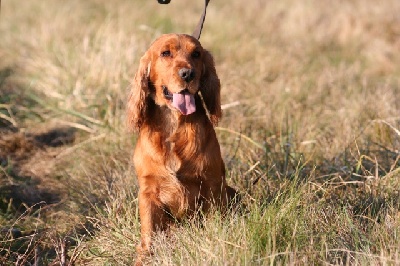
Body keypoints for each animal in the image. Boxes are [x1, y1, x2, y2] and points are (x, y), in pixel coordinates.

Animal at [126, 32, 236, 262]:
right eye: (165, 53)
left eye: (196, 54)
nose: (188, 74)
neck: (174, 122)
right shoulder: (148, 191)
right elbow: (149, 231)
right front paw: (144, 257)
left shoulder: (212, 183)